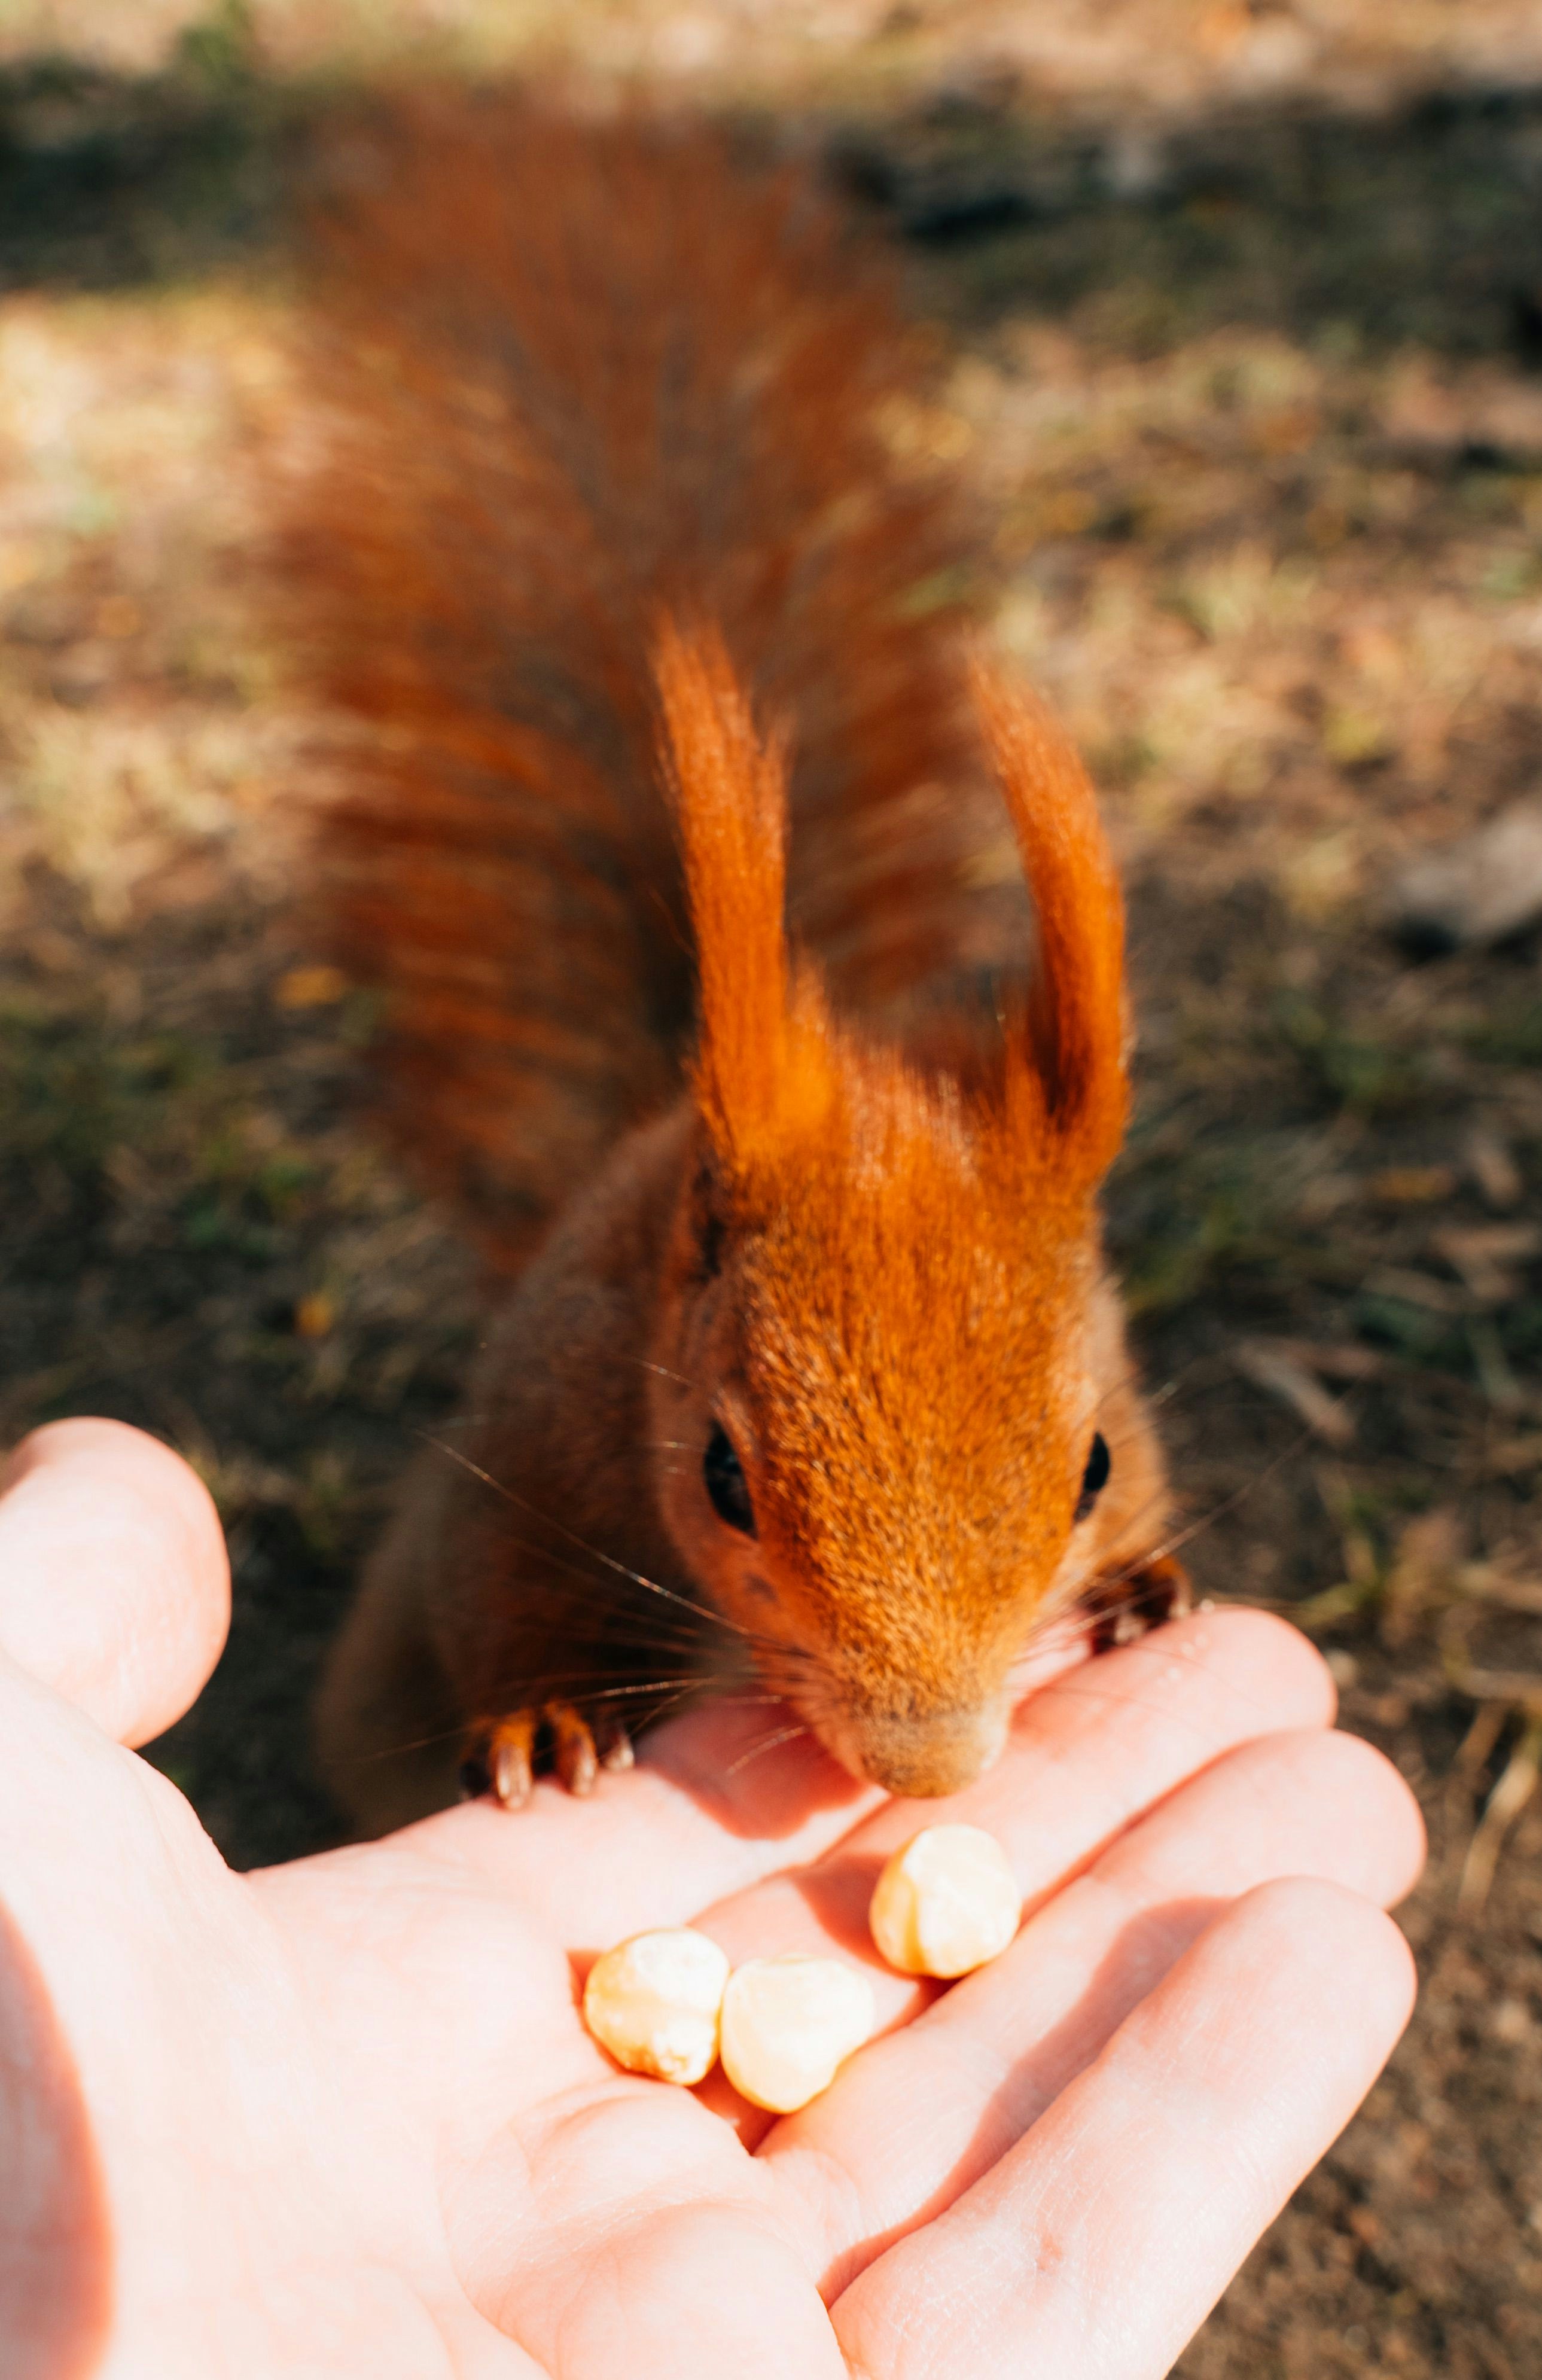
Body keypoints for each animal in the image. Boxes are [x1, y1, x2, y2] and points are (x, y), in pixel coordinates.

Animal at [283, 92, 1189, 1836]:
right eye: (721, 1472)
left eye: (1095, 1464)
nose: (927, 1768)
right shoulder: (540, 1443)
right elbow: (510, 1596)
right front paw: (547, 1721)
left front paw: (1140, 1584)